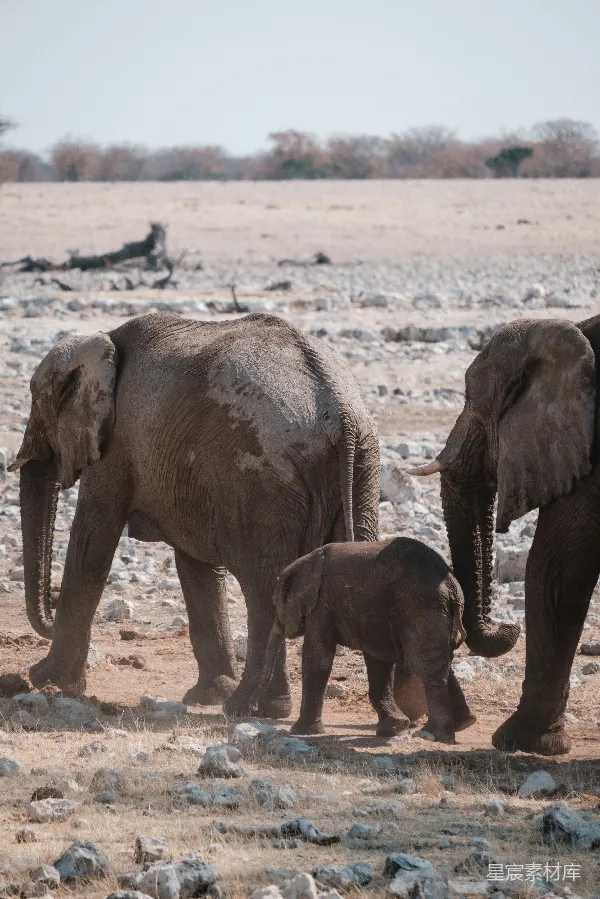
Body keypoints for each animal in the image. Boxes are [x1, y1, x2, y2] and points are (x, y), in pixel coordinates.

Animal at [8, 311, 381, 717]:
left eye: (37, 403)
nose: (51, 601)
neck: (103, 341)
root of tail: (338, 413)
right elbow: (195, 566)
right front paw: (206, 696)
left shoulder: (118, 444)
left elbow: (93, 544)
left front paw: (46, 680)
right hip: (361, 469)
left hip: (261, 480)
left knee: (264, 587)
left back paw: (247, 707)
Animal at [254, 537, 476, 743]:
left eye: (276, 604)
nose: (254, 710)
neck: (306, 561)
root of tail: (450, 587)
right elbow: (378, 663)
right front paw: (395, 728)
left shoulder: (321, 605)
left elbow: (318, 658)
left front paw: (301, 732)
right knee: (441, 663)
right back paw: (464, 723)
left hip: (421, 609)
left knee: (426, 665)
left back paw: (432, 735)